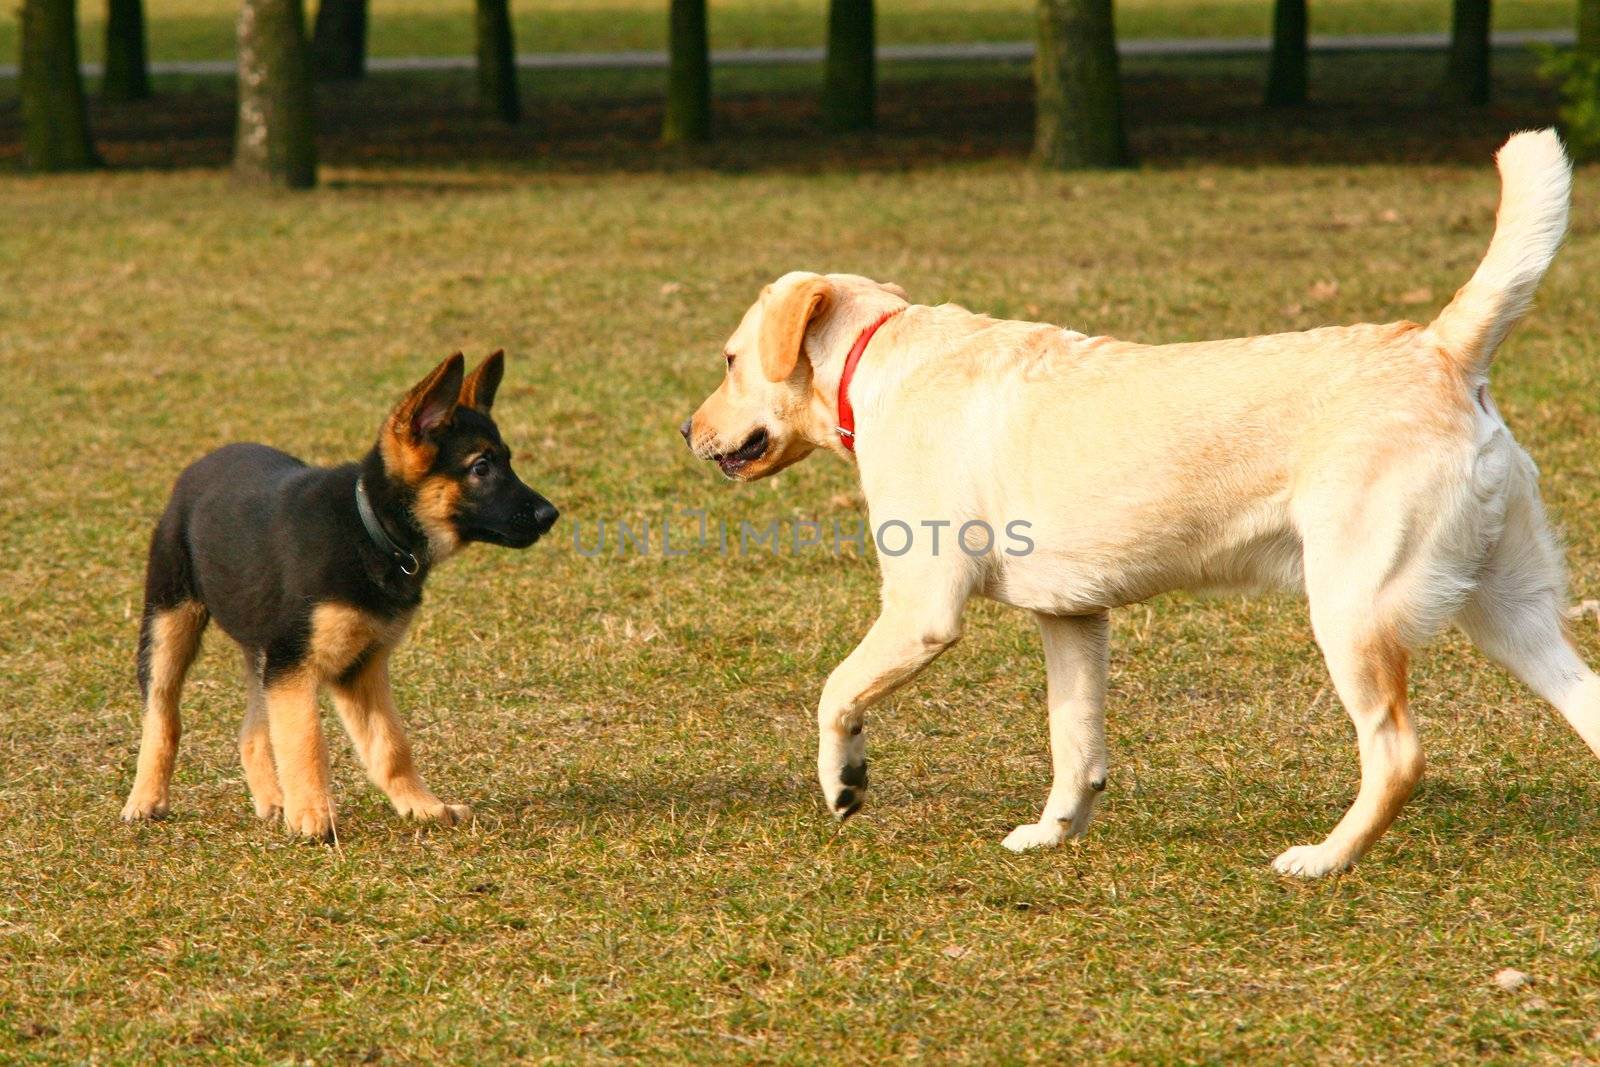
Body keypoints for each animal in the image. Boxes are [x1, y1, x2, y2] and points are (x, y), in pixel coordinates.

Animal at [120, 355, 556, 838]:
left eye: (508, 462)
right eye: (481, 467)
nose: (551, 514)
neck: (371, 528)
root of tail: (202, 463)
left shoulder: (357, 667)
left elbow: (390, 745)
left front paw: (421, 806)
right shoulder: (295, 664)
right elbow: (306, 740)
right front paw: (312, 816)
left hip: (261, 649)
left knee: (252, 731)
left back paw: (273, 800)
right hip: (170, 620)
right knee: (163, 714)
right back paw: (147, 799)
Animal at [681, 129, 1593, 876]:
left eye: (727, 359)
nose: (686, 429)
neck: (877, 359)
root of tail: (1440, 348)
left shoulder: (921, 610)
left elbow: (835, 691)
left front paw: (844, 781)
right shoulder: (1073, 619)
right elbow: (1073, 744)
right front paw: (1051, 832)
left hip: (1354, 611)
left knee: (1396, 754)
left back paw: (1321, 858)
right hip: (1507, 613)